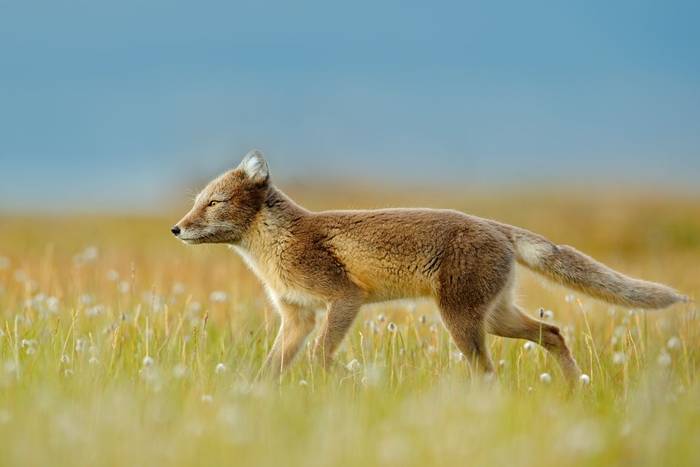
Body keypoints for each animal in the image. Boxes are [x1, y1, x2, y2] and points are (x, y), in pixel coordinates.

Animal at [172, 150, 688, 382]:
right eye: (197, 201)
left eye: (214, 203)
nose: (176, 229)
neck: (274, 248)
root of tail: (493, 225)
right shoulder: (297, 316)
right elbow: (272, 366)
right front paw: (260, 395)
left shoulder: (344, 299)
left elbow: (320, 357)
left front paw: (319, 388)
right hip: (495, 318)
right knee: (553, 332)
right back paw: (575, 387)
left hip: (463, 321)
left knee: (490, 369)